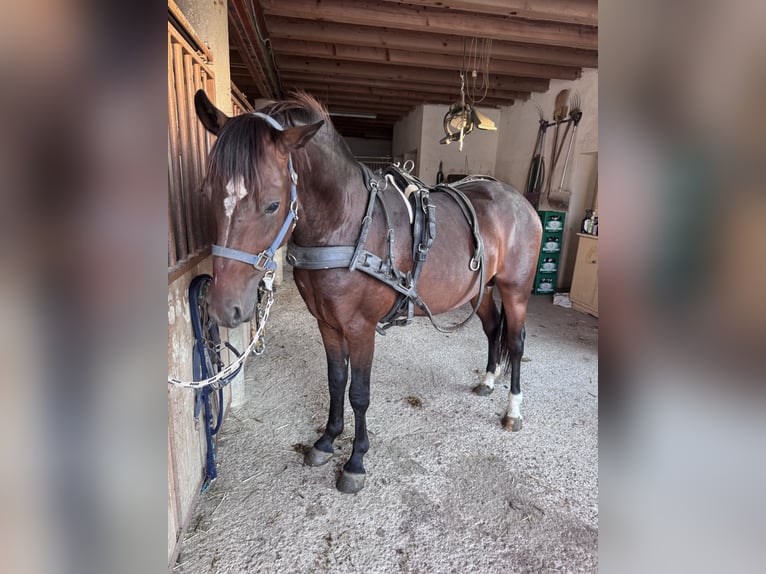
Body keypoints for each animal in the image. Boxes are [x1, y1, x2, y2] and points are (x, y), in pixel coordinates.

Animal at [193, 90, 542, 494]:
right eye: (206, 193)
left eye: (272, 204)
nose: (223, 308)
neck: (344, 224)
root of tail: (518, 200)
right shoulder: (327, 323)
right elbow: (336, 382)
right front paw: (327, 440)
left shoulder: (360, 327)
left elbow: (358, 393)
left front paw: (356, 461)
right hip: (479, 289)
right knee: (492, 329)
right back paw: (487, 380)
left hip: (515, 290)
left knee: (515, 341)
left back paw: (513, 409)